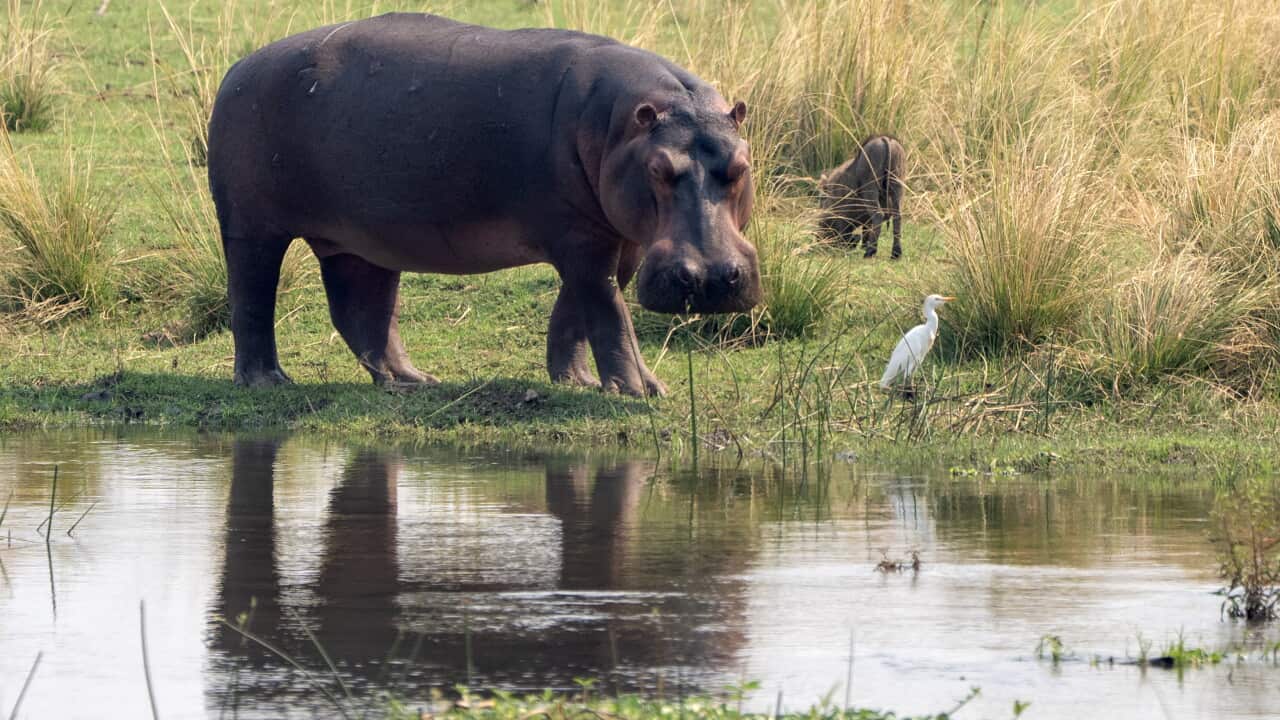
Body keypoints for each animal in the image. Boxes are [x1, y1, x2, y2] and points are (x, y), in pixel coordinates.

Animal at [207, 13, 761, 397]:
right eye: (659, 170)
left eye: (741, 165)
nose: (710, 279)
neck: (621, 126)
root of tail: (238, 66)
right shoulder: (581, 238)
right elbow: (608, 312)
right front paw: (638, 391)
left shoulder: (617, 238)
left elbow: (578, 310)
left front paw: (577, 381)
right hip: (252, 228)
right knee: (252, 300)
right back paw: (269, 382)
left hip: (363, 238)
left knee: (362, 311)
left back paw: (412, 381)